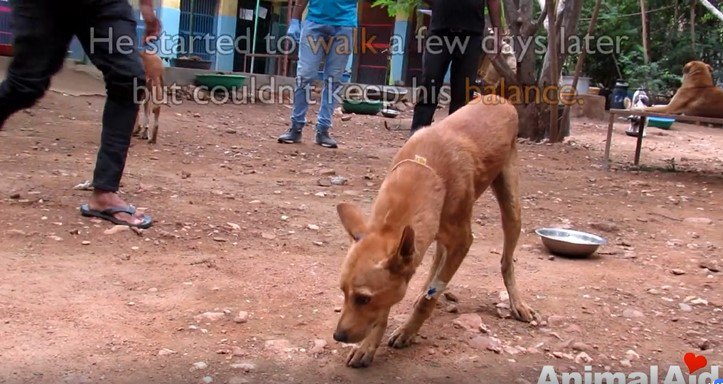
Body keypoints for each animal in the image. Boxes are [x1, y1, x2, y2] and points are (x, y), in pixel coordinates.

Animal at [336, 94, 536, 368]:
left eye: (364, 298)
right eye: (343, 292)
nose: (337, 336)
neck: (422, 173)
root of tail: (498, 97)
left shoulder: (462, 243)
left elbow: (427, 300)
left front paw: (407, 331)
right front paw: (368, 346)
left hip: (511, 209)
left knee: (506, 261)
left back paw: (517, 303)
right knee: (437, 257)